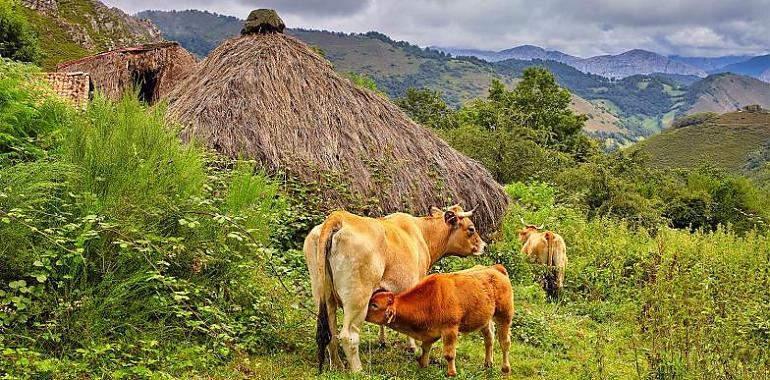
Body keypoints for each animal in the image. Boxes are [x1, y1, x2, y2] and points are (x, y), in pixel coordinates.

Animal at [304, 205, 484, 372]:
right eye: (471, 228)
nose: (484, 245)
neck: (423, 234)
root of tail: (339, 216)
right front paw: (412, 346)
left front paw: (383, 341)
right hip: (357, 298)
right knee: (348, 336)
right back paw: (358, 370)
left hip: (323, 294)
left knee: (331, 331)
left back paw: (337, 365)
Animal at [364, 264, 510, 378]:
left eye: (375, 305)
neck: (430, 298)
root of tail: (495, 268)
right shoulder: (431, 331)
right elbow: (425, 347)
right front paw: (423, 364)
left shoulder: (450, 329)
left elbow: (449, 354)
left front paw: (451, 373)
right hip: (485, 319)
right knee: (489, 338)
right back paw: (488, 363)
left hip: (504, 315)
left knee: (505, 342)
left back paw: (505, 368)